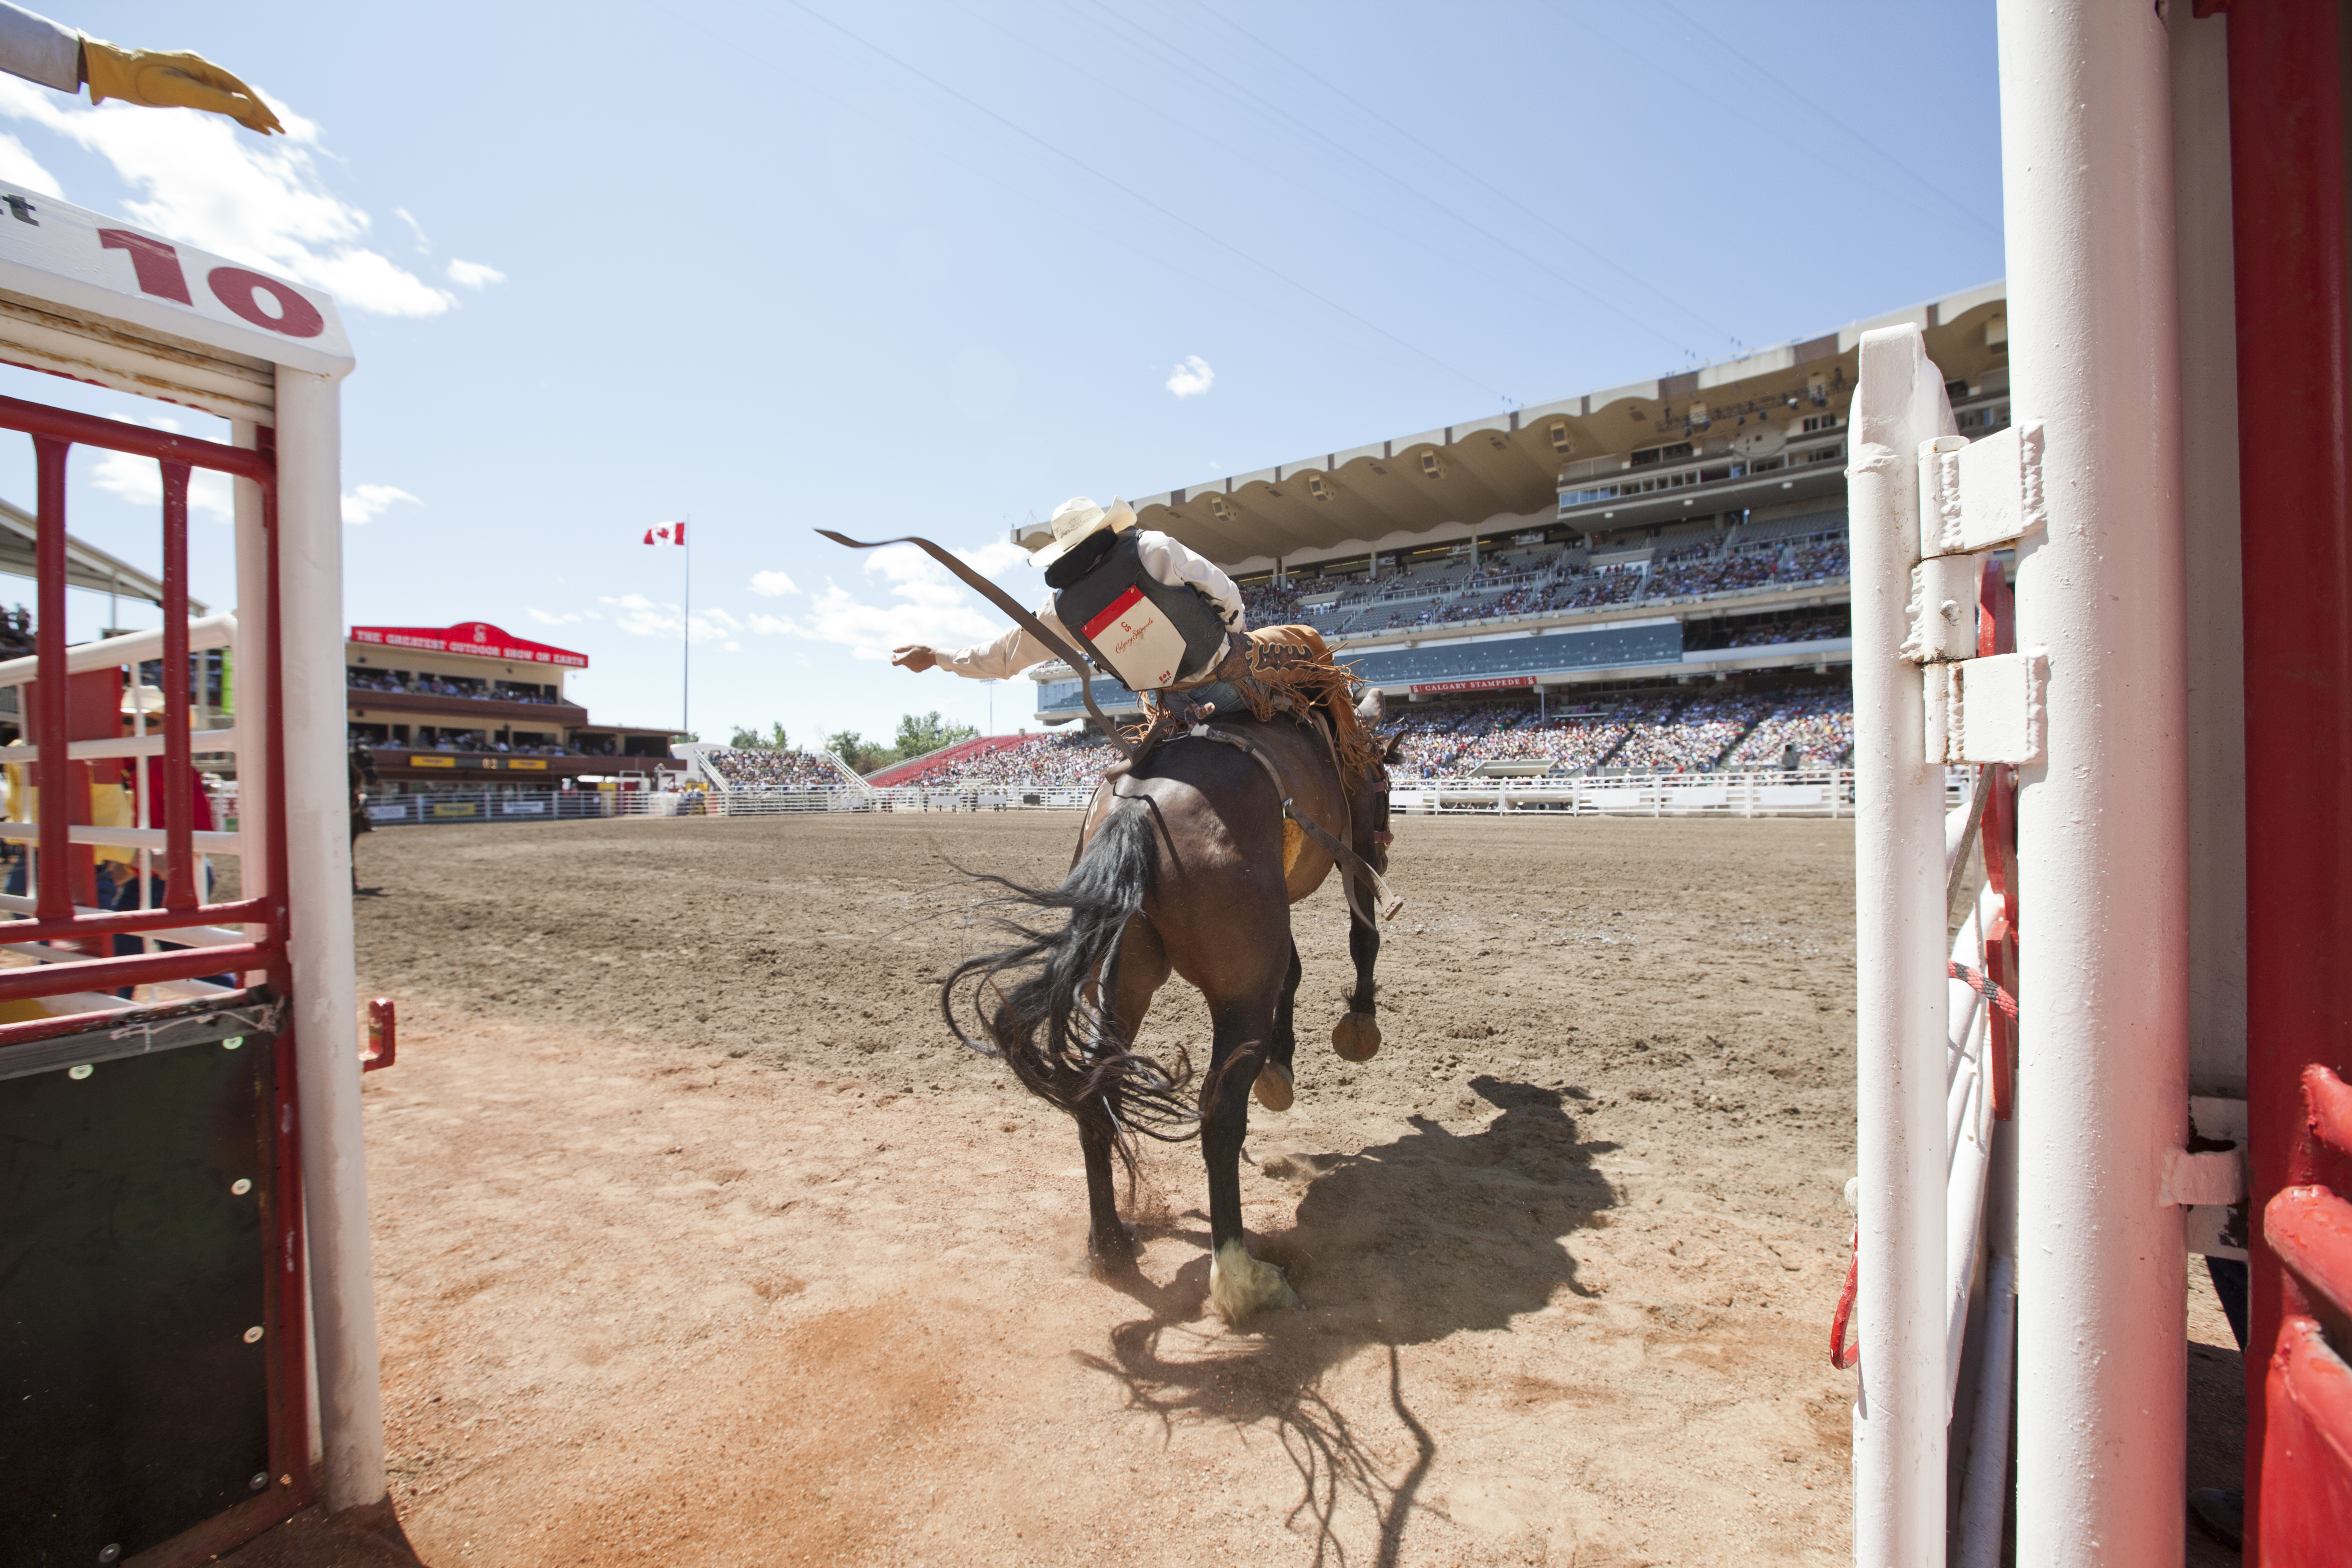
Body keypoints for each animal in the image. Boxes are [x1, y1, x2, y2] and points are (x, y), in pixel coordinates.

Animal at [944, 690, 1397, 1321]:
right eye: (1384, 781)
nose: (1389, 842)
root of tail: (1139, 810)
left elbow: (1298, 969)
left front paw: (1282, 1069)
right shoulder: (1351, 848)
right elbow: (1361, 936)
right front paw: (1357, 1027)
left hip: (1125, 982)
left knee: (1096, 1093)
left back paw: (1111, 1244)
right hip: (1239, 992)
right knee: (1219, 1113)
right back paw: (1241, 1278)